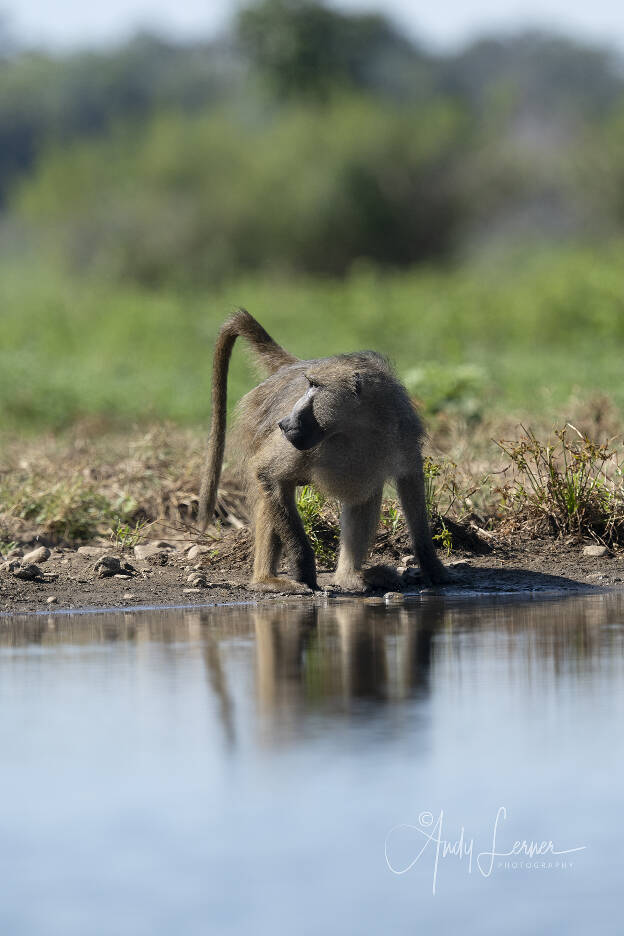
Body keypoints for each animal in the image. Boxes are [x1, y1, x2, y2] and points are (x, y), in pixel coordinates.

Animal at [197, 308, 449, 594]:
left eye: (315, 386)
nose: (284, 423)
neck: (356, 428)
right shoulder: (297, 443)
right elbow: (266, 473)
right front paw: (303, 567)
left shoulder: (402, 434)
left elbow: (410, 484)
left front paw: (432, 565)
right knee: (272, 495)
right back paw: (266, 580)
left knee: (364, 494)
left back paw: (350, 577)